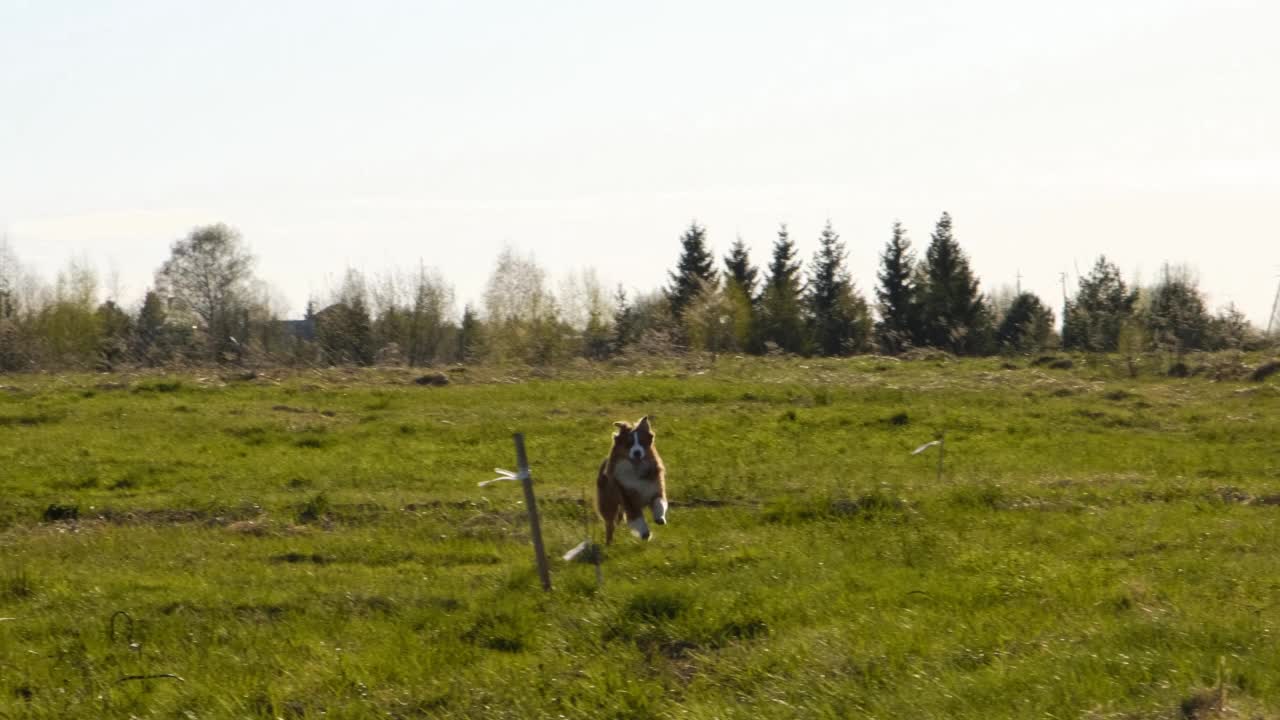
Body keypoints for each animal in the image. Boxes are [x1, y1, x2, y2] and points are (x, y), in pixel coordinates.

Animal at [593, 412, 665, 540]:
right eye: (629, 444)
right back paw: (609, 540)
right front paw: (645, 533)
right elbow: (637, 517)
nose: (637, 452)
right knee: (610, 523)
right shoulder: (627, 498)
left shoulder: (655, 487)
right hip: (608, 502)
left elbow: (659, 501)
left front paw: (660, 517)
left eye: (642, 442)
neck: (636, 469)